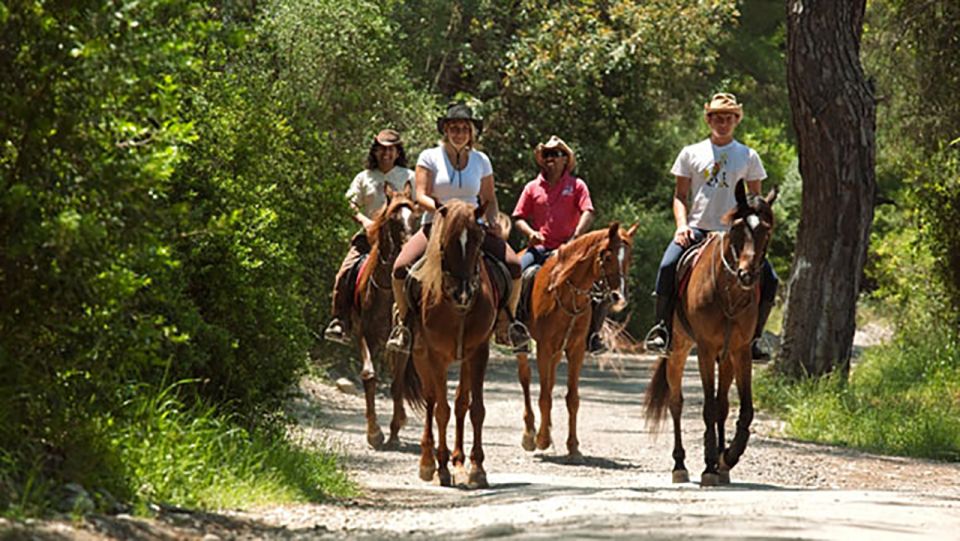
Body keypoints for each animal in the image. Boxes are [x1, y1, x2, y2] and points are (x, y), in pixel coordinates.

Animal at [348, 181, 416, 448]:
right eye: (394, 219)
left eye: (414, 217)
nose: (408, 253)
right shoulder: (363, 334)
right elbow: (369, 375)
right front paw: (374, 433)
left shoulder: (402, 344)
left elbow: (397, 385)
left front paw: (394, 432)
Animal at [398, 199, 498, 490]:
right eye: (444, 242)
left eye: (478, 239)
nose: (461, 293)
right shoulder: (435, 355)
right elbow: (441, 410)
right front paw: (440, 468)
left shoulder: (479, 352)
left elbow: (476, 409)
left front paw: (477, 468)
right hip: (420, 356)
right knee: (431, 400)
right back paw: (429, 462)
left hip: (464, 359)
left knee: (461, 402)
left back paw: (459, 462)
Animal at [516, 221, 636, 462]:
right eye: (608, 256)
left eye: (628, 258)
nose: (619, 297)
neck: (566, 292)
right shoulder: (544, 347)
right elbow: (544, 396)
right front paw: (542, 440)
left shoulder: (576, 349)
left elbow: (572, 399)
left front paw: (573, 447)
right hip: (524, 342)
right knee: (526, 379)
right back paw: (531, 434)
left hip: (557, 351)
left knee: (550, 383)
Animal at [644, 180, 772, 486]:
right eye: (736, 229)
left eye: (766, 230)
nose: (747, 275)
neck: (729, 294)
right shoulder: (704, 348)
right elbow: (708, 407)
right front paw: (710, 465)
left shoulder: (740, 350)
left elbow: (743, 409)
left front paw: (727, 457)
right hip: (679, 349)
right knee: (676, 403)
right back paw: (680, 464)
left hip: (726, 359)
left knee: (723, 405)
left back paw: (719, 461)